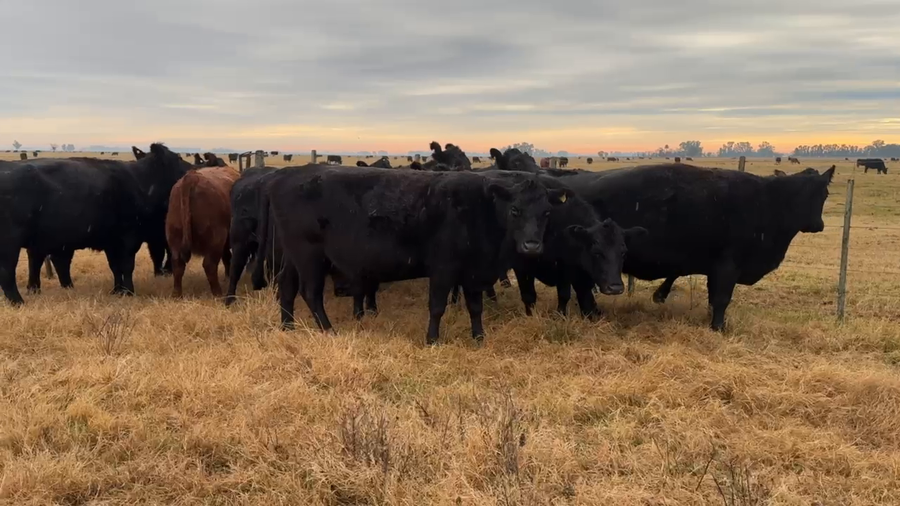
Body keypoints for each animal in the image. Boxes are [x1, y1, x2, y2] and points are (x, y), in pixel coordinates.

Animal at [0, 143, 191, 304]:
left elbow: (115, 267)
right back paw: (18, 301)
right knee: (8, 271)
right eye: (178, 158)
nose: (193, 168)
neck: (139, 182)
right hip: (11, 241)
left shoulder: (111, 242)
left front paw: (117, 290)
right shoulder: (129, 237)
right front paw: (129, 291)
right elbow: (127, 265)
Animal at [166, 164, 241, 297]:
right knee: (209, 265)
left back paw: (176, 294)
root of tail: (191, 178)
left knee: (177, 264)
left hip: (174, 237)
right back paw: (218, 292)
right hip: (217, 238)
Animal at [254, 166, 569, 344]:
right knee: (310, 292)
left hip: (294, 256)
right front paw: (432, 340)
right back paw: (328, 330)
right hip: (310, 256)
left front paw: (479, 338)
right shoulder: (443, 268)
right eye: (515, 210)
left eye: (547, 212)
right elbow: (437, 306)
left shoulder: (473, 271)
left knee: (286, 286)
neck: (479, 209)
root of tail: (283, 176)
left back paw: (288, 327)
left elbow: (475, 306)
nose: (532, 245)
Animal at [553, 163, 835, 331]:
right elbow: (721, 299)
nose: (818, 225)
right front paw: (719, 328)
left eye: (823, 194)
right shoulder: (728, 266)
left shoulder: (715, 269)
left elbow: (712, 297)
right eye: (805, 194)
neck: (766, 201)